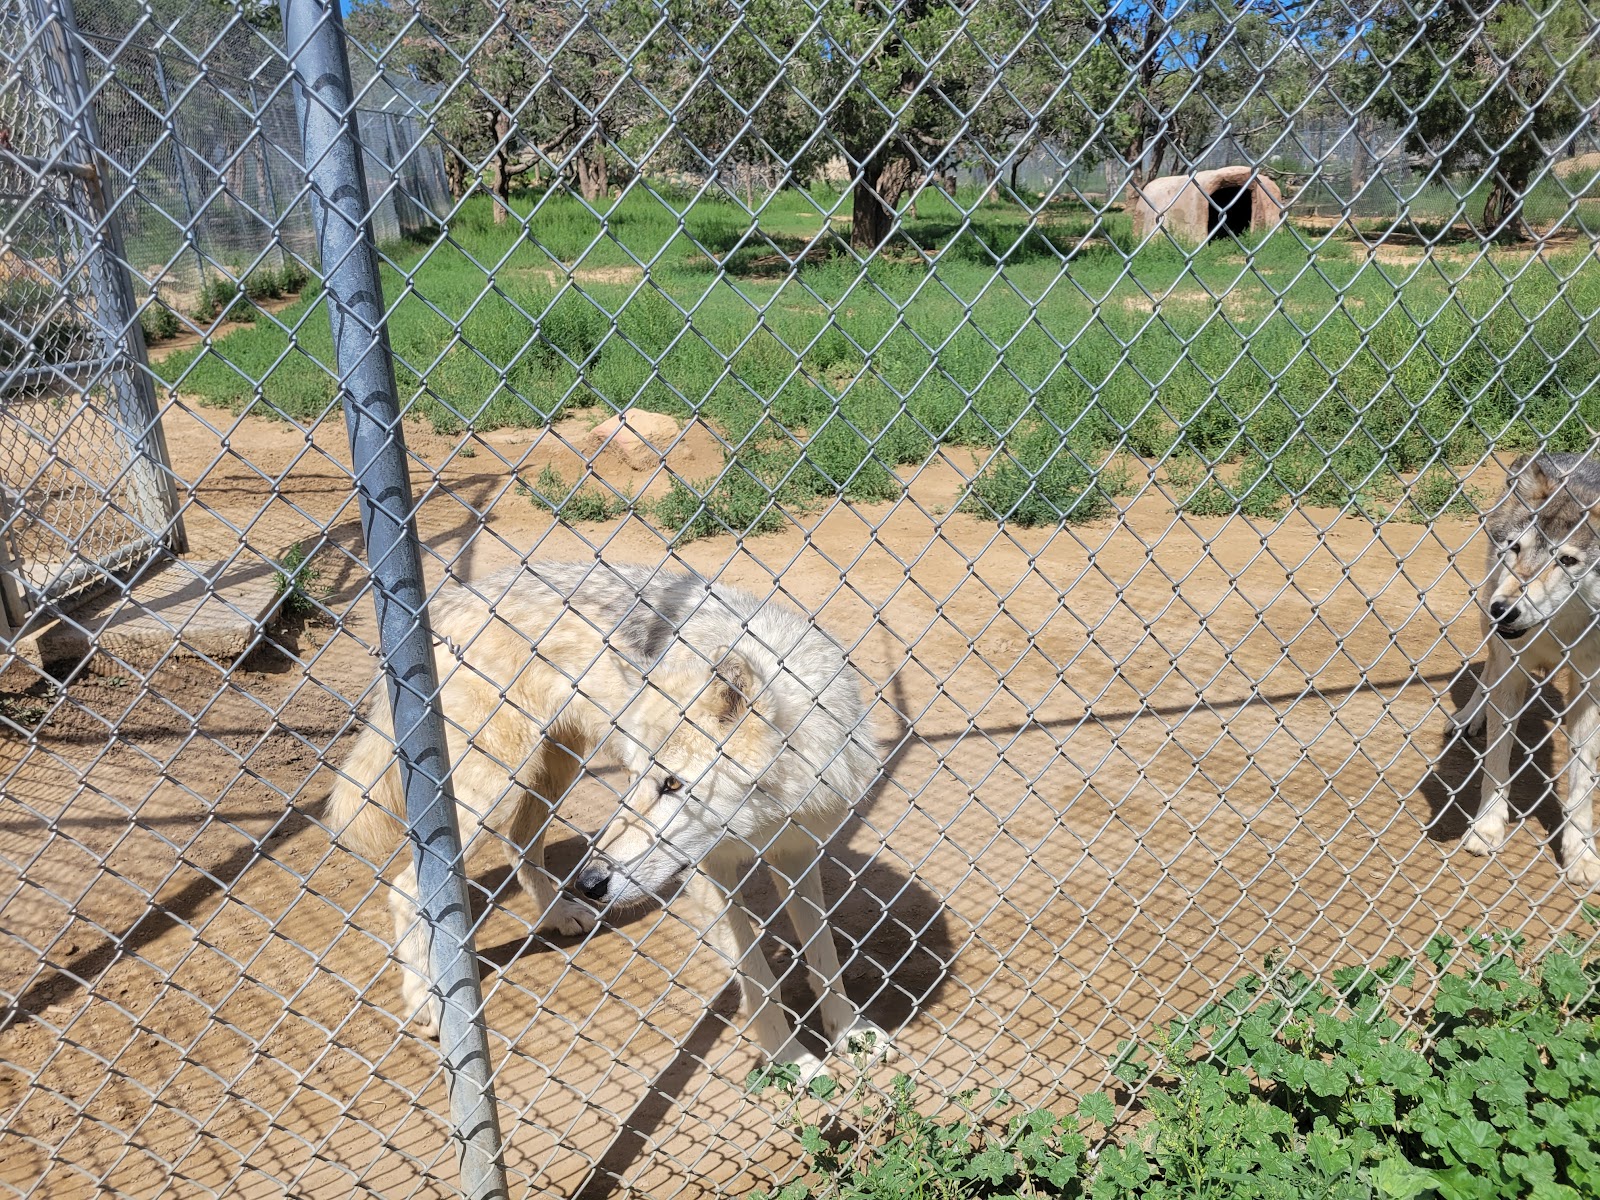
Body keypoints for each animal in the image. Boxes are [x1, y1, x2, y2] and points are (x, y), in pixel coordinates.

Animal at [325, 560, 886, 1077]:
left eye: (672, 784)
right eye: (638, 777)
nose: (591, 882)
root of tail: (451, 599)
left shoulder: (798, 850)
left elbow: (825, 955)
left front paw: (848, 1031)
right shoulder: (708, 872)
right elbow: (758, 977)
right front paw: (793, 1060)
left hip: (553, 767)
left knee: (520, 844)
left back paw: (559, 914)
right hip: (491, 790)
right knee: (407, 887)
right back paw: (425, 999)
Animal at [1450, 453, 1600, 886]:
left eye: (1567, 560)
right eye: (1516, 548)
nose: (1505, 610)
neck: (1558, 630)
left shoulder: (1590, 689)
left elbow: (1582, 783)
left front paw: (1581, 854)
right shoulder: (1510, 672)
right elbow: (1496, 762)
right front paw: (1486, 828)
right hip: (1484, 609)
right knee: (1485, 671)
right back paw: (1468, 717)